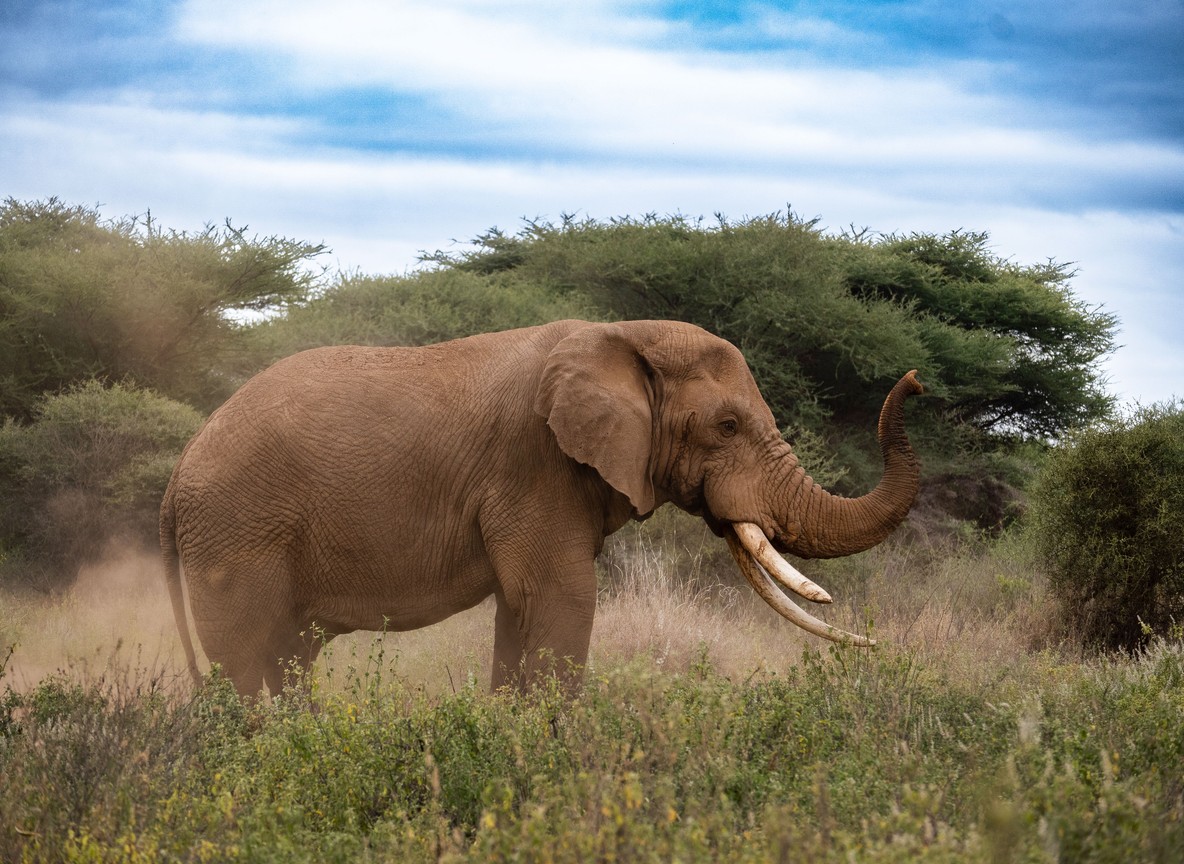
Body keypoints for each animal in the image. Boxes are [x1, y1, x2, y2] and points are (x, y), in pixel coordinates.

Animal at [160, 319, 923, 695]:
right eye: (728, 426)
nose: (915, 380)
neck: (622, 335)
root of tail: (176, 476)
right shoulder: (533, 466)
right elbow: (562, 599)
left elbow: (519, 611)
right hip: (237, 532)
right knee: (249, 663)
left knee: (287, 660)